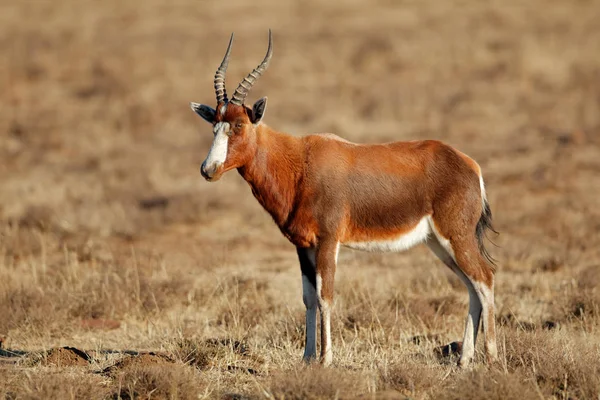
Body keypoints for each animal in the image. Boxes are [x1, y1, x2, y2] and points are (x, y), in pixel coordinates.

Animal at [190, 32, 500, 368]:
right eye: (214, 124)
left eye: (238, 124)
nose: (208, 169)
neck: (301, 162)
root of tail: (469, 165)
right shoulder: (303, 246)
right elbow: (308, 298)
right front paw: (307, 358)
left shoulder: (328, 240)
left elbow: (326, 296)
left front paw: (326, 360)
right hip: (439, 243)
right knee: (471, 285)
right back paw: (464, 360)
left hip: (456, 236)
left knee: (485, 278)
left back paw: (492, 359)